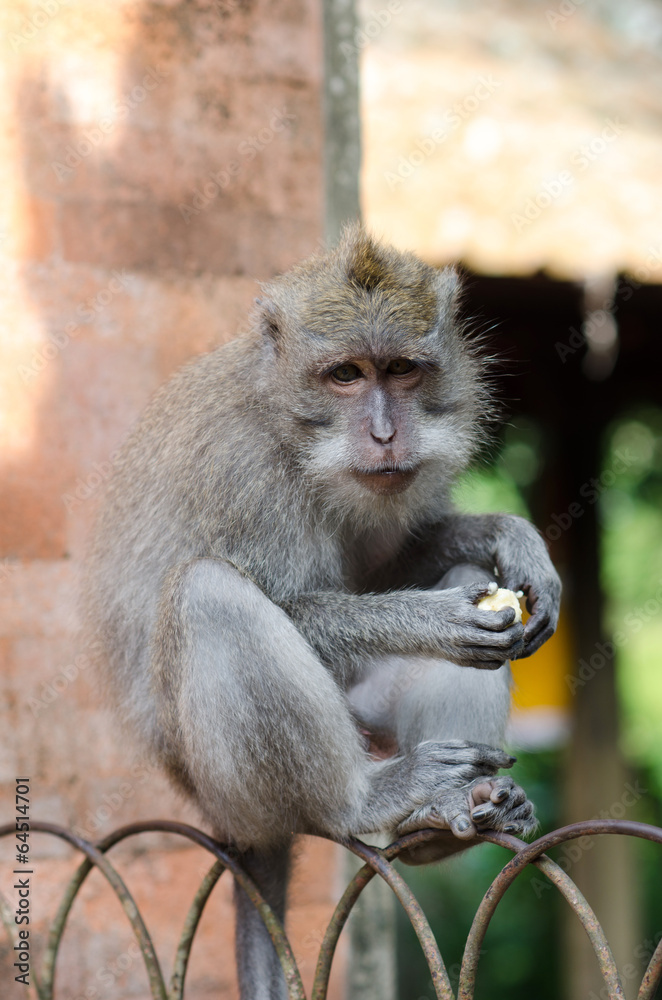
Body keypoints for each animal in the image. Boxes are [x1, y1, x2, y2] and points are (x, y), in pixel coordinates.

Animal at [83, 225, 561, 1000]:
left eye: (400, 370)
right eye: (345, 375)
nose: (384, 434)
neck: (290, 427)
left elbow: (382, 568)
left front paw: (508, 536)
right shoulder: (243, 471)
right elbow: (283, 603)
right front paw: (428, 620)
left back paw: (450, 819)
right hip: (222, 787)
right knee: (206, 594)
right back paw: (363, 800)